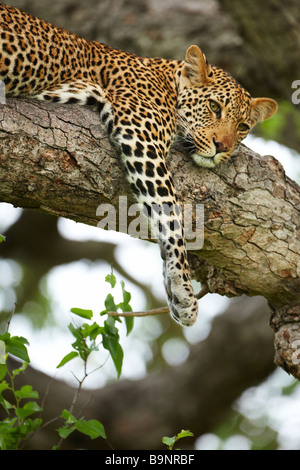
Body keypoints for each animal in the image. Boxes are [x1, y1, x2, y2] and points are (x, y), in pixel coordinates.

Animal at [0, 3, 278, 326]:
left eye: (243, 126)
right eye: (214, 107)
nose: (222, 147)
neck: (168, 80)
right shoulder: (141, 133)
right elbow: (170, 214)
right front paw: (181, 285)